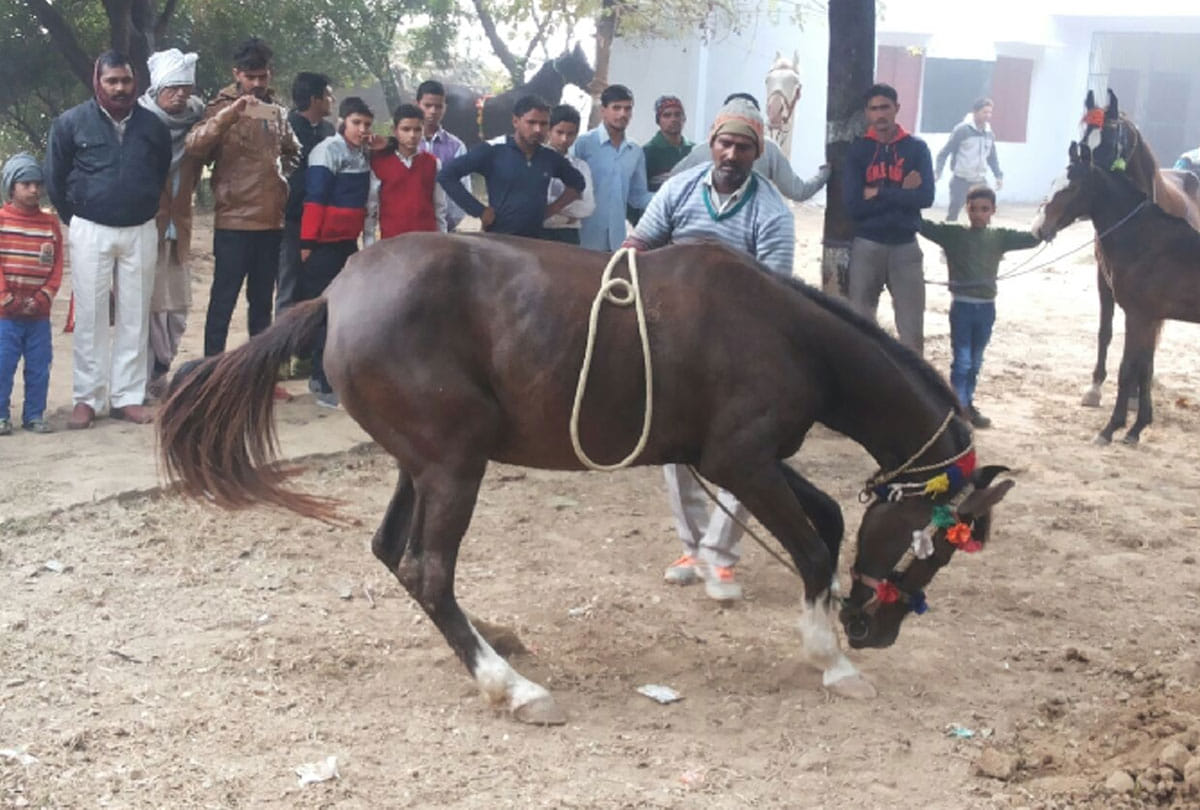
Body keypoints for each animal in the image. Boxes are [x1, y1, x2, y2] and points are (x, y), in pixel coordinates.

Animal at [158, 235, 1014, 724]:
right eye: (940, 545)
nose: (876, 629)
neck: (790, 333)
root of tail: (335, 295)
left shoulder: (742, 459)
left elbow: (830, 521)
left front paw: (827, 625)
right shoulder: (740, 460)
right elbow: (810, 546)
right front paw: (830, 658)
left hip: (421, 464)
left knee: (396, 556)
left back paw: (491, 643)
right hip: (455, 462)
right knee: (428, 570)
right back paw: (509, 686)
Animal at [1033, 141, 1200, 444]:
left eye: (1072, 187)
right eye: (1053, 182)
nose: (1039, 228)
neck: (1146, 243)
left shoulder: (1138, 316)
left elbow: (1127, 369)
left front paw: (1110, 428)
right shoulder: (1150, 319)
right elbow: (1144, 369)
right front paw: (1136, 429)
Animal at [1077, 90, 1200, 408]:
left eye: (1109, 142)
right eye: (1083, 141)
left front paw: (1132, 394)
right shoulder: (1104, 278)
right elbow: (1106, 331)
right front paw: (1095, 387)